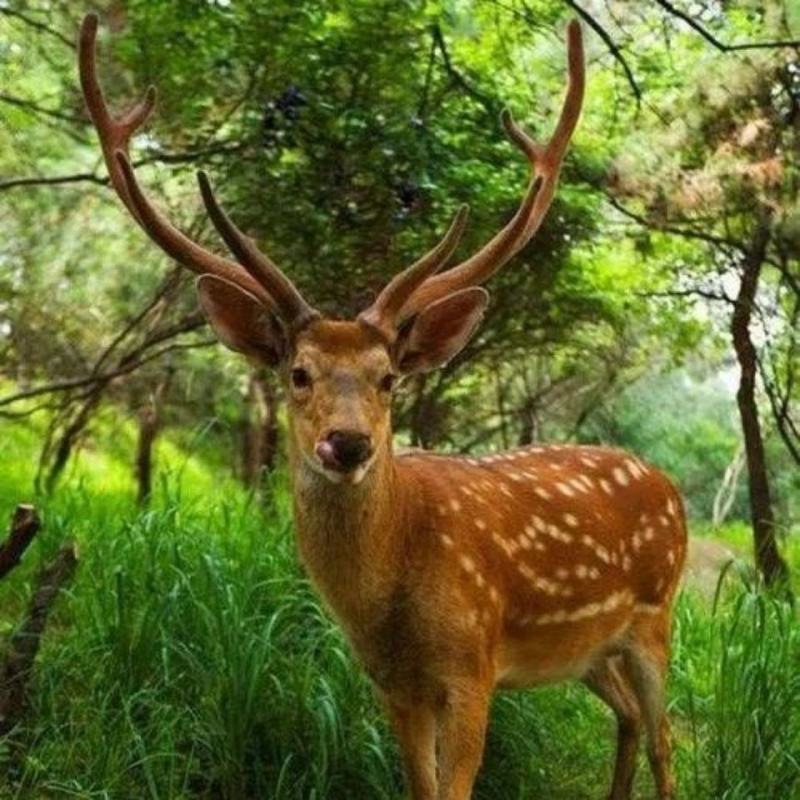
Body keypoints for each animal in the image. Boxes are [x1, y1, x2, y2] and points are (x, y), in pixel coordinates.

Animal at [78, 14, 687, 800]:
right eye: (298, 373)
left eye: (389, 377)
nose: (348, 442)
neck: (391, 603)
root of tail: (668, 485)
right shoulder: (393, 686)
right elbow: (419, 788)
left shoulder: (473, 666)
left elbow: (456, 787)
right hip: (586, 651)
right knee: (631, 718)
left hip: (655, 616)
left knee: (666, 735)